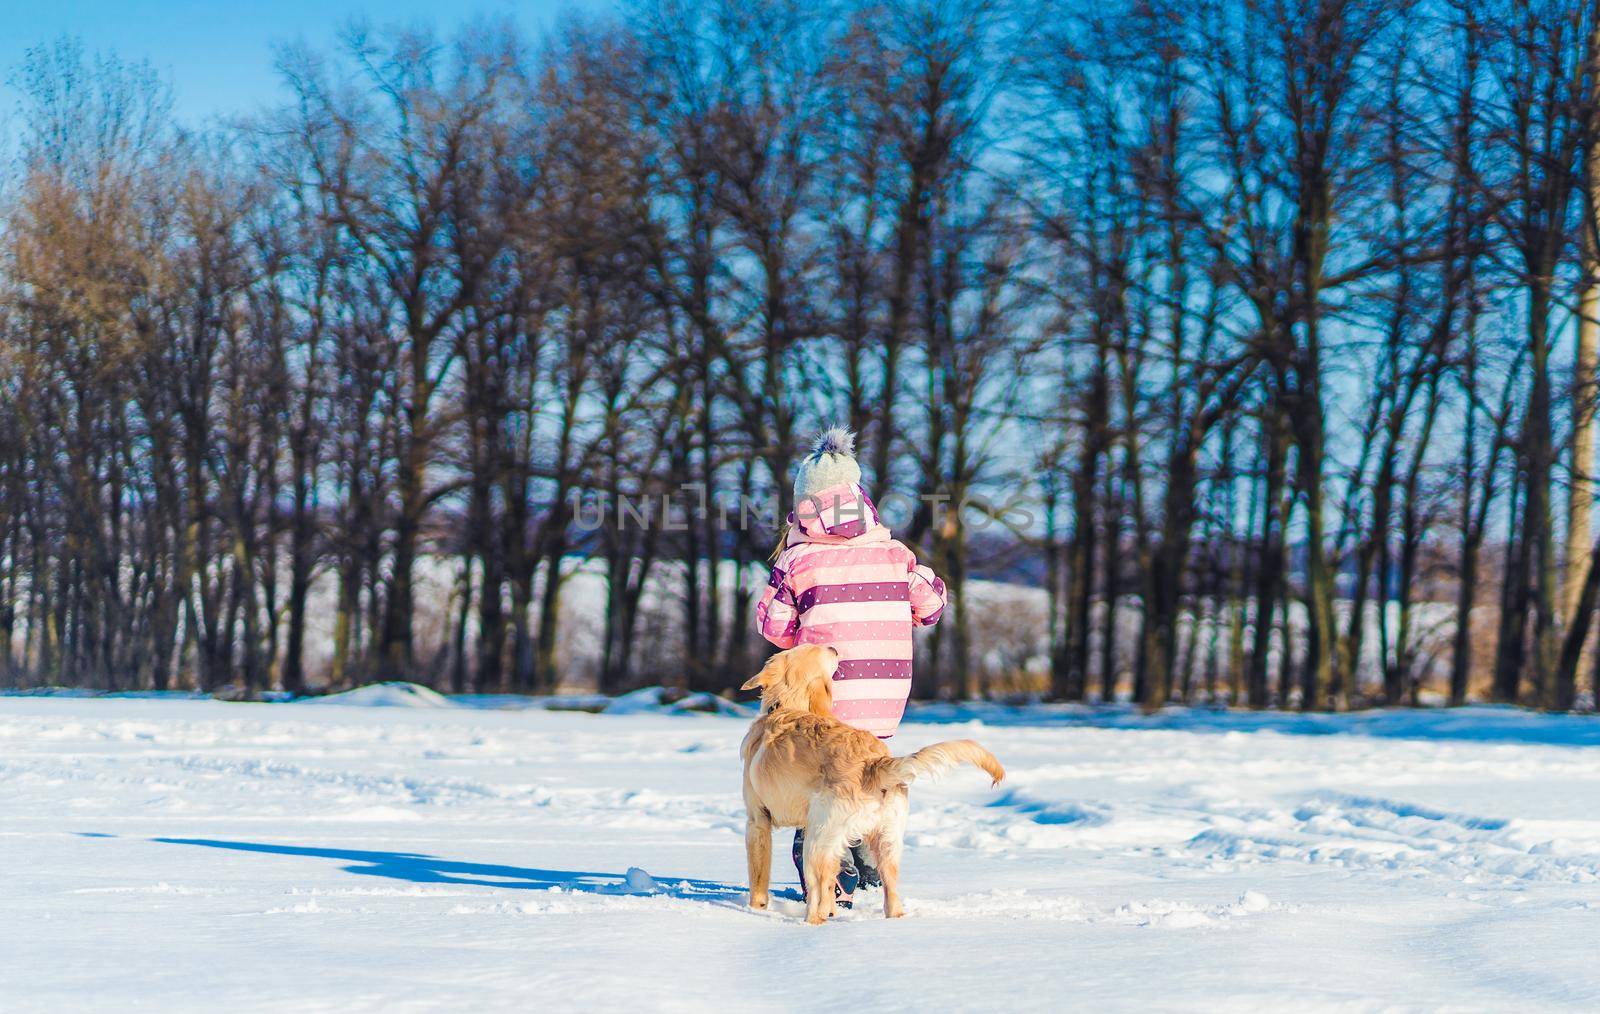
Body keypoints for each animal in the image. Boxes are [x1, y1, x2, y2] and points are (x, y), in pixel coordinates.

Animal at [736, 642, 998, 921]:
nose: (833, 647)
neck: (789, 705)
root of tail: (873, 762)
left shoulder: (757, 821)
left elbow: (759, 879)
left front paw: (753, 909)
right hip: (885, 844)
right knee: (889, 896)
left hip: (816, 844)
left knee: (817, 897)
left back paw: (808, 922)